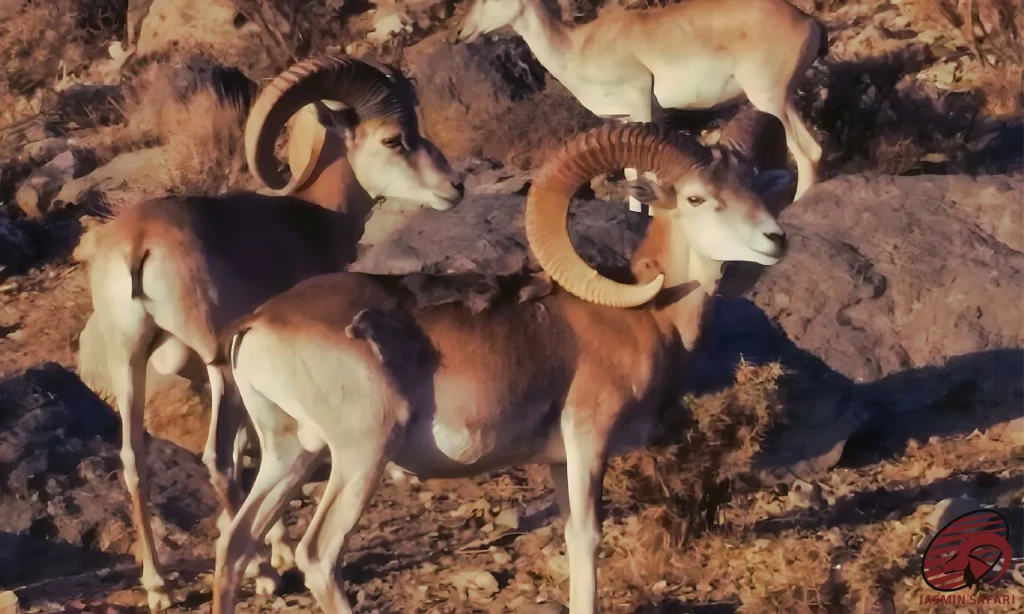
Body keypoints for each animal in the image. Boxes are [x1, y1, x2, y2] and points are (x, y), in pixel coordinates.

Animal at [72, 54, 464, 612]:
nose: (454, 188)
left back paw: (159, 587)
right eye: (394, 139)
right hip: (218, 362)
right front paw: (276, 555)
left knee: (134, 460)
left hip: (130, 361)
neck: (311, 218)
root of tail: (138, 244)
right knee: (219, 461)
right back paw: (263, 573)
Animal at [209, 119, 791, 614]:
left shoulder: (559, 462)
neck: (644, 315)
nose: (775, 239)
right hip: (361, 454)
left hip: (290, 454)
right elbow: (587, 541)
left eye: (753, 186)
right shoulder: (588, 445)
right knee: (319, 555)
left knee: (235, 543)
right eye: (696, 197)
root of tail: (257, 324)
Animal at [456, 0, 826, 211]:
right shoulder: (628, 120)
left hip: (772, 100)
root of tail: (807, 21)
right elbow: (635, 173)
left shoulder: (641, 109)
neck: (578, 45)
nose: (460, 32)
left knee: (809, 151)